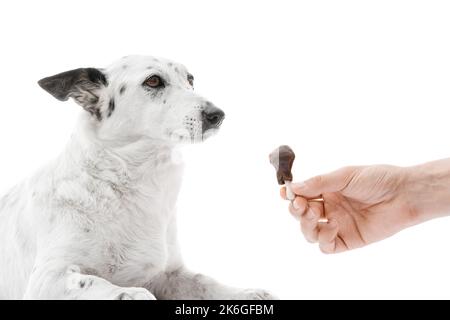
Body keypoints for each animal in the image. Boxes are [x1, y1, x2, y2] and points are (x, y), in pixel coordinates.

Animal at [0, 55, 274, 300]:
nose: (217, 114)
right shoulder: (47, 278)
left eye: (190, 79)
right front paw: (129, 293)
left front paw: (244, 293)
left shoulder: (167, 274)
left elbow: (204, 282)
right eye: (153, 81)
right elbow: (94, 282)